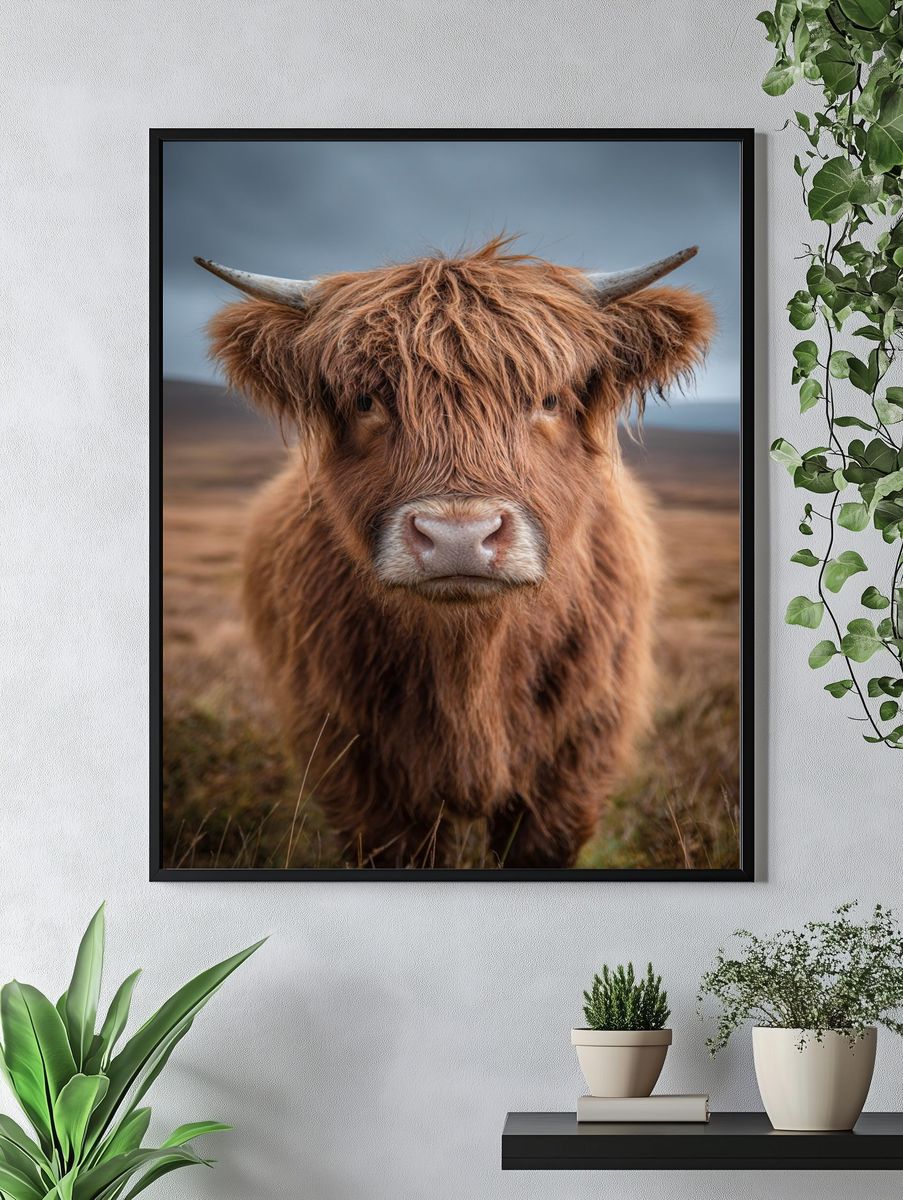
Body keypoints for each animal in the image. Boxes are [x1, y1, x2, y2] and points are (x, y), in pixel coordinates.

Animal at [195, 238, 713, 868]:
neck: (472, 659)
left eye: (548, 399)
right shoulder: (353, 763)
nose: (458, 538)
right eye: (366, 400)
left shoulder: (578, 757)